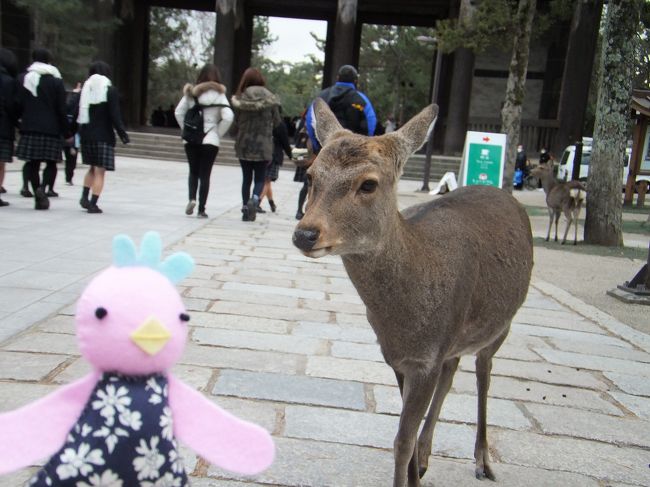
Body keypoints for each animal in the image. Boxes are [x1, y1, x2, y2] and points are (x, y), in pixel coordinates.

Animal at [292, 98, 533, 487]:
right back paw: (425, 457)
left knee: (484, 373)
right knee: (452, 372)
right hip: (455, 342)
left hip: (503, 324)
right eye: (312, 175)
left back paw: (483, 461)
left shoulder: (425, 358)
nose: (305, 233)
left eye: (369, 184)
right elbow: (406, 430)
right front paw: (414, 471)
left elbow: (400, 440)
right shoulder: (400, 357)